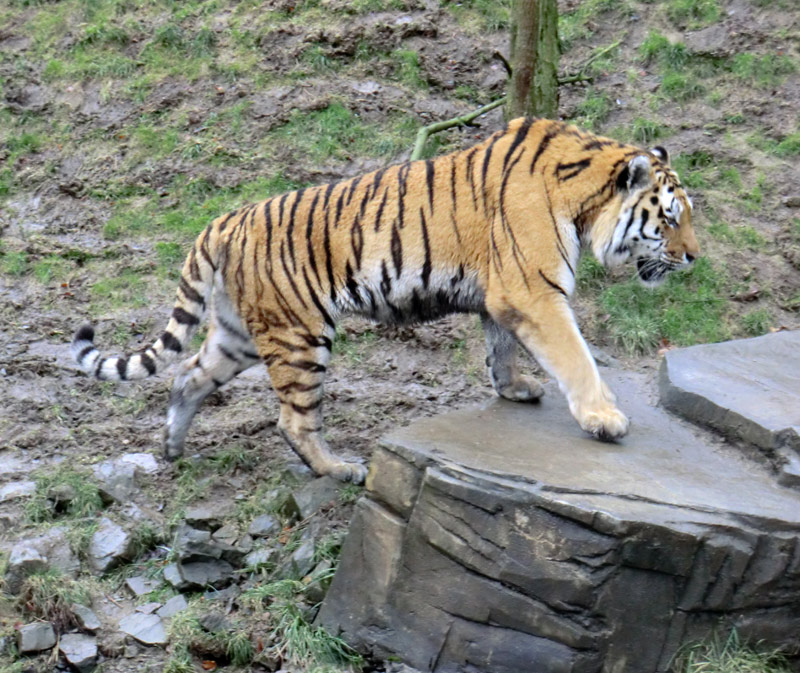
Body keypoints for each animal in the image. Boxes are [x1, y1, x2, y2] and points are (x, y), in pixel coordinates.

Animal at [73, 117, 700, 484]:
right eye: (669, 219)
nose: (694, 257)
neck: (584, 198)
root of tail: (225, 221)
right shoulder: (534, 291)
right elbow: (577, 357)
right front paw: (604, 419)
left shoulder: (503, 295)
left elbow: (501, 349)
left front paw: (515, 389)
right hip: (300, 333)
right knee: (292, 419)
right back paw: (339, 470)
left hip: (239, 334)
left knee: (187, 377)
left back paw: (172, 448)